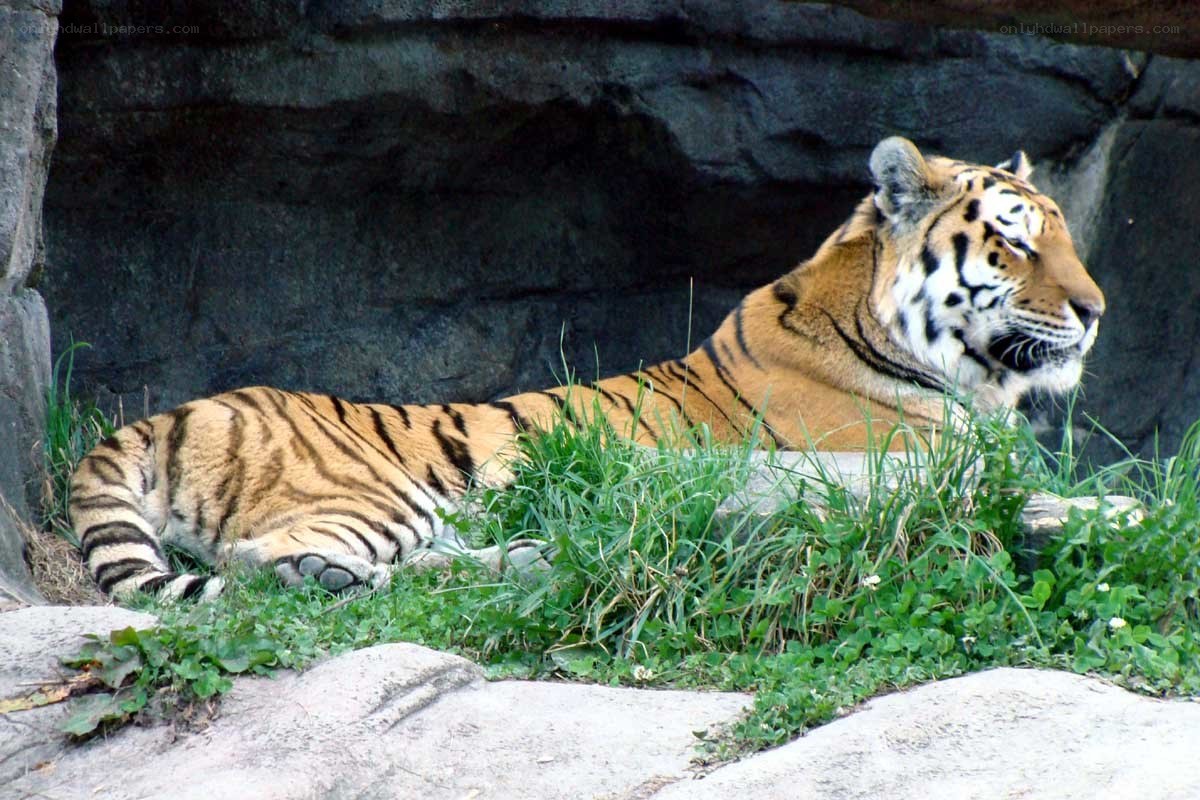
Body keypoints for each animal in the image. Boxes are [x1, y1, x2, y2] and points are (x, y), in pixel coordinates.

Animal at [71, 136, 1104, 601]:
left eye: (1067, 237)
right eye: (1015, 242)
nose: (1096, 313)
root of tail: (165, 416)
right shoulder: (910, 461)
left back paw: (531, 558)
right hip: (371, 494)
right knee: (272, 566)